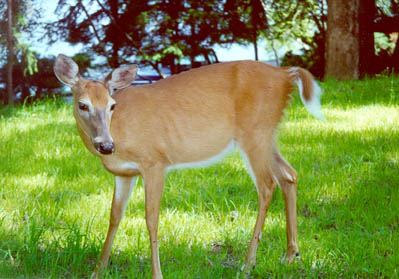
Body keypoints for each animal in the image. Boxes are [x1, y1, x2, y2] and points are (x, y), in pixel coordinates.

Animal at [53, 53, 324, 278]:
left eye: (112, 105)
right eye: (82, 104)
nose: (106, 146)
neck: (119, 130)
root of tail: (286, 74)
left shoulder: (154, 161)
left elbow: (151, 219)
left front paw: (157, 274)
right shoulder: (124, 173)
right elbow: (114, 217)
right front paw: (98, 270)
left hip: (255, 132)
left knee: (267, 185)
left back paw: (248, 264)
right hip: (267, 135)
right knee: (289, 175)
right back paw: (290, 255)